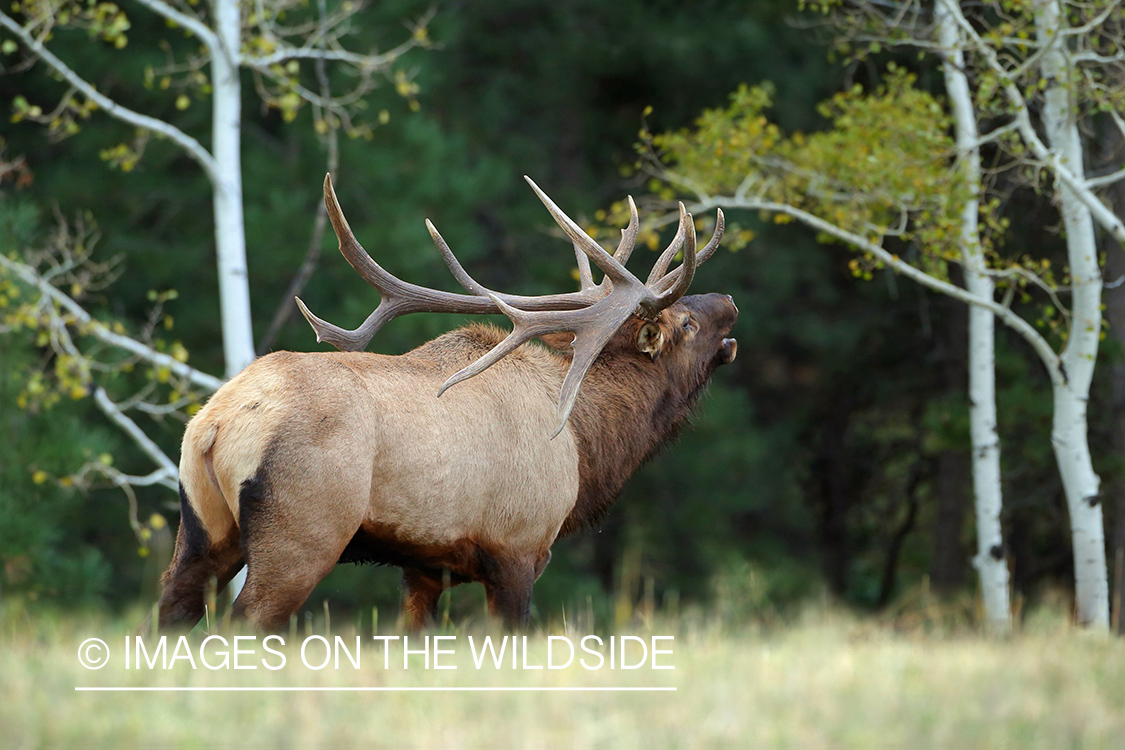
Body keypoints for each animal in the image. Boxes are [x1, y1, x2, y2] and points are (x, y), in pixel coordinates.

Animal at [158, 176, 738, 634]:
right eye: (686, 322)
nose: (729, 302)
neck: (586, 445)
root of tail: (216, 423)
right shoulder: (517, 546)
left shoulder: (424, 568)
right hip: (301, 530)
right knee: (243, 621)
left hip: (202, 529)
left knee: (169, 612)